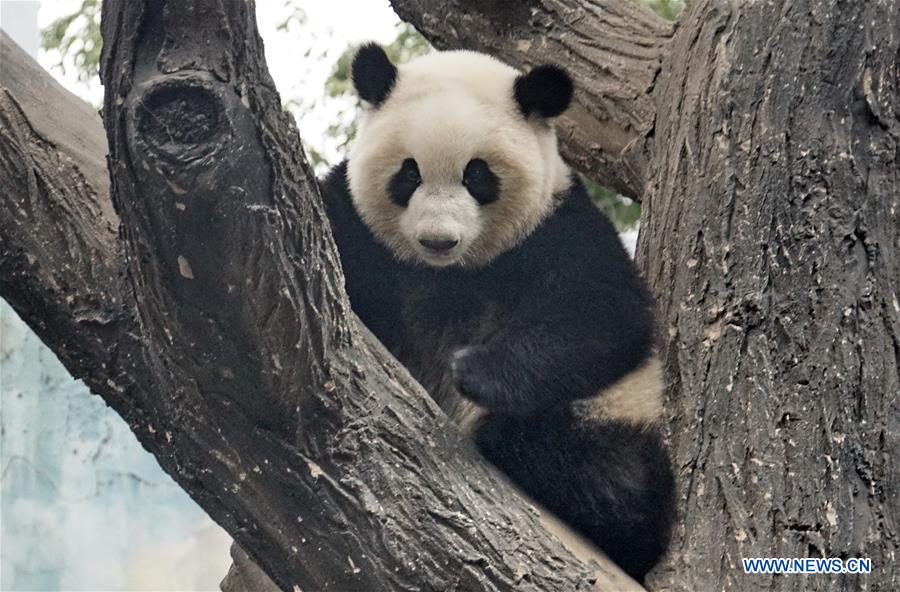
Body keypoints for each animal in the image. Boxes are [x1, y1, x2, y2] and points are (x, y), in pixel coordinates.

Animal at [319, 43, 676, 582]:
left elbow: (604, 316)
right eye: (409, 173)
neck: (450, 274)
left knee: (609, 472)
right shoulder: (359, 229)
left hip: (616, 407)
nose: (438, 240)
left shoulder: (557, 227)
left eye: (477, 175)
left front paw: (473, 369)